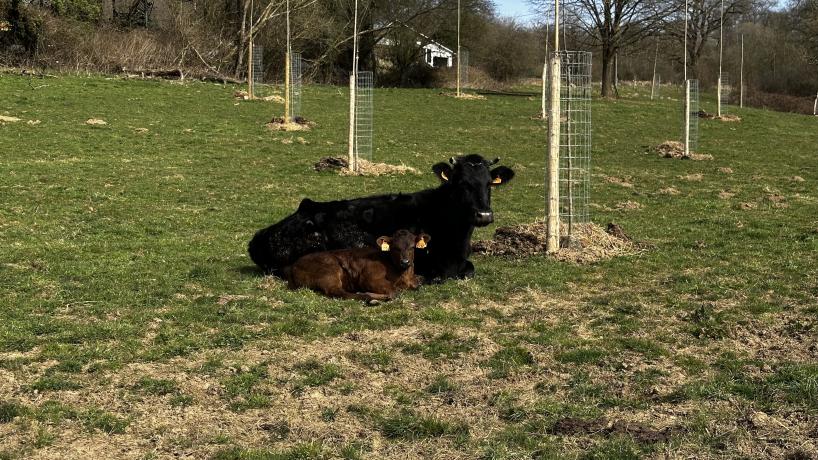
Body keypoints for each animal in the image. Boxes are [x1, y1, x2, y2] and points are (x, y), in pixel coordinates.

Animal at [285, 229, 431, 302]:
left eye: (412, 247)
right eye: (395, 248)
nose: (405, 262)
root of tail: (293, 265)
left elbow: (421, 280)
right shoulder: (369, 278)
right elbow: (394, 292)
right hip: (329, 270)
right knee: (337, 292)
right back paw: (369, 298)